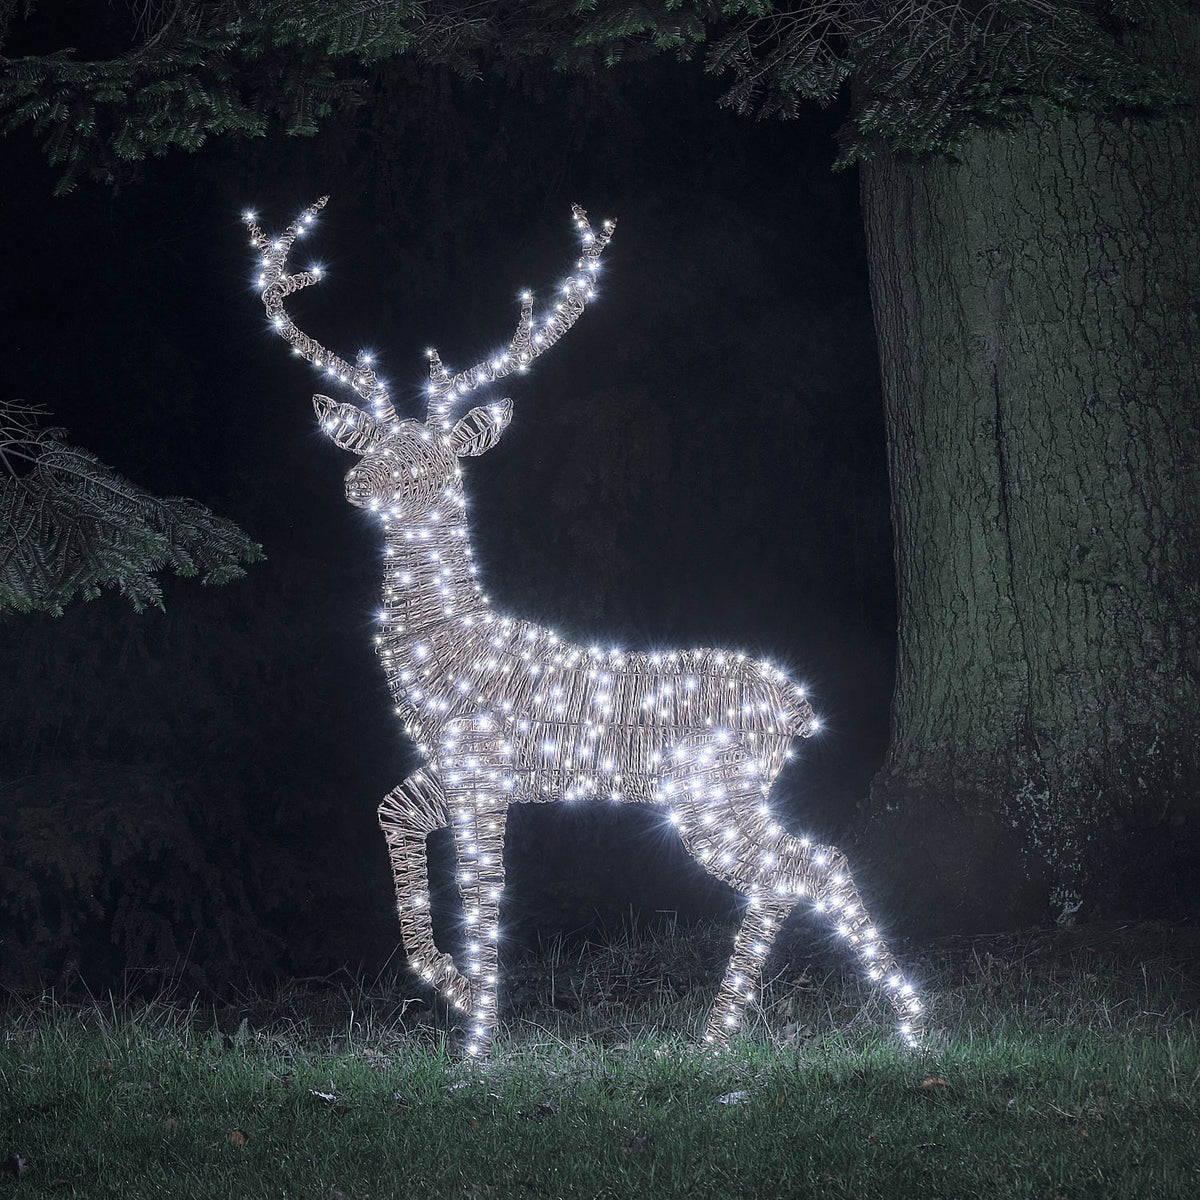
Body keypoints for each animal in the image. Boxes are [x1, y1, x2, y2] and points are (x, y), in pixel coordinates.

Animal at [245, 198, 926, 1055]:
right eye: (377, 443)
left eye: (434, 458)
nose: (359, 482)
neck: (450, 645)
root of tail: (798, 707)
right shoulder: (452, 769)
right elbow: (390, 815)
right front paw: (456, 989)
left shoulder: (482, 767)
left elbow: (485, 890)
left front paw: (480, 1043)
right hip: (722, 795)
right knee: (803, 867)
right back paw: (743, 1034)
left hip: (712, 792)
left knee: (806, 865)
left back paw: (885, 1025)